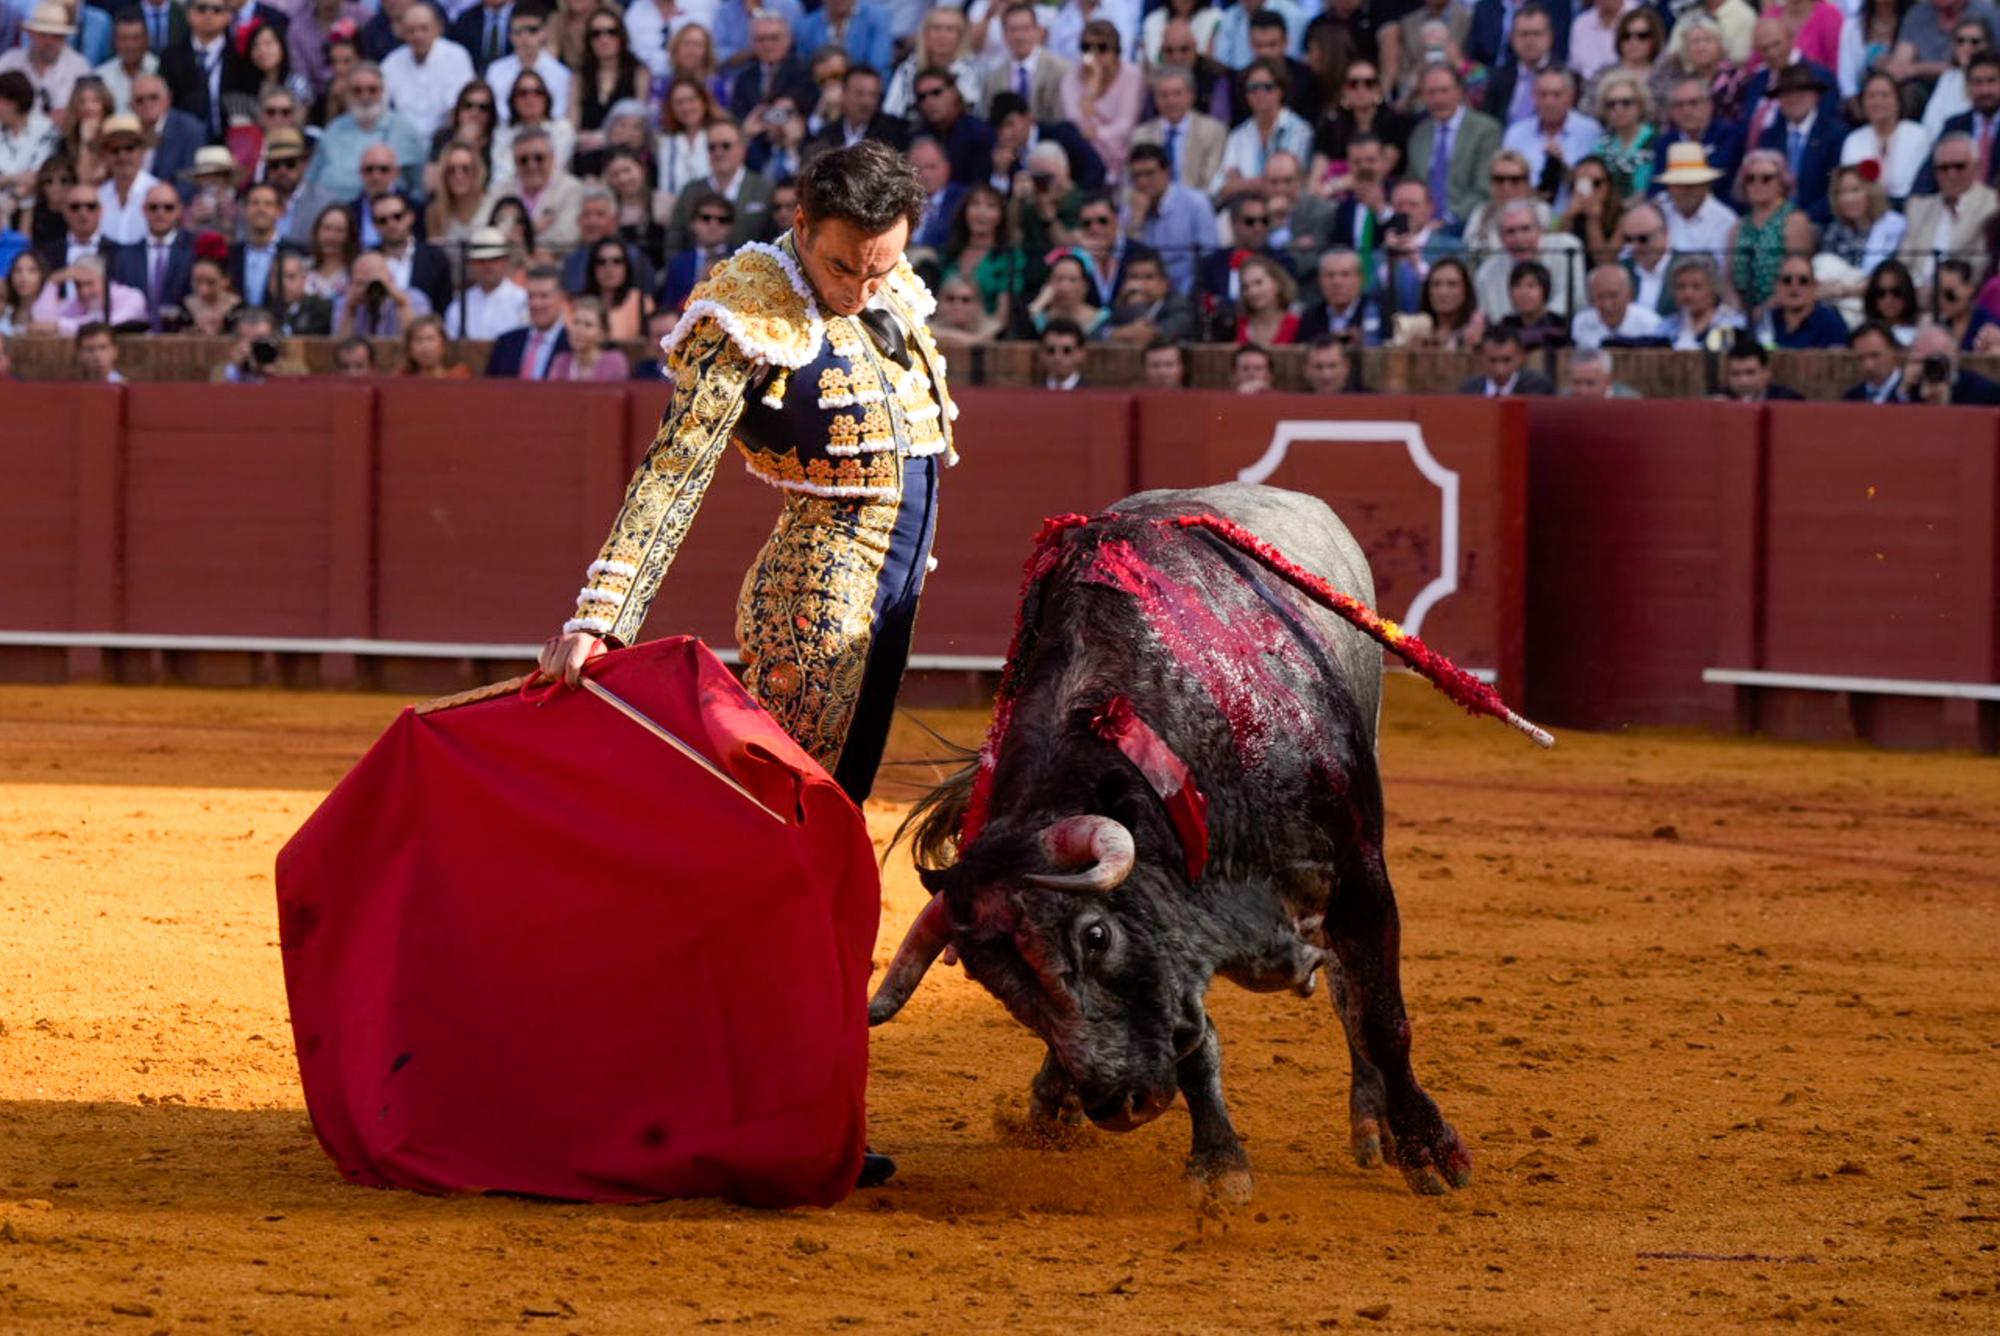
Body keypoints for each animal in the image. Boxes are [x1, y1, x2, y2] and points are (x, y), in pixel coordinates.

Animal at [872, 482, 1528, 1200]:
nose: (1120, 1104)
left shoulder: (1359, 876)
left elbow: (1380, 1016)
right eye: (993, 983)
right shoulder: (1174, 942)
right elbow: (1193, 1043)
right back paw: (1055, 1100)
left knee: (1347, 993)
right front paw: (1219, 1163)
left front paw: (1430, 1150)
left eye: (1095, 935)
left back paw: (1371, 1122)